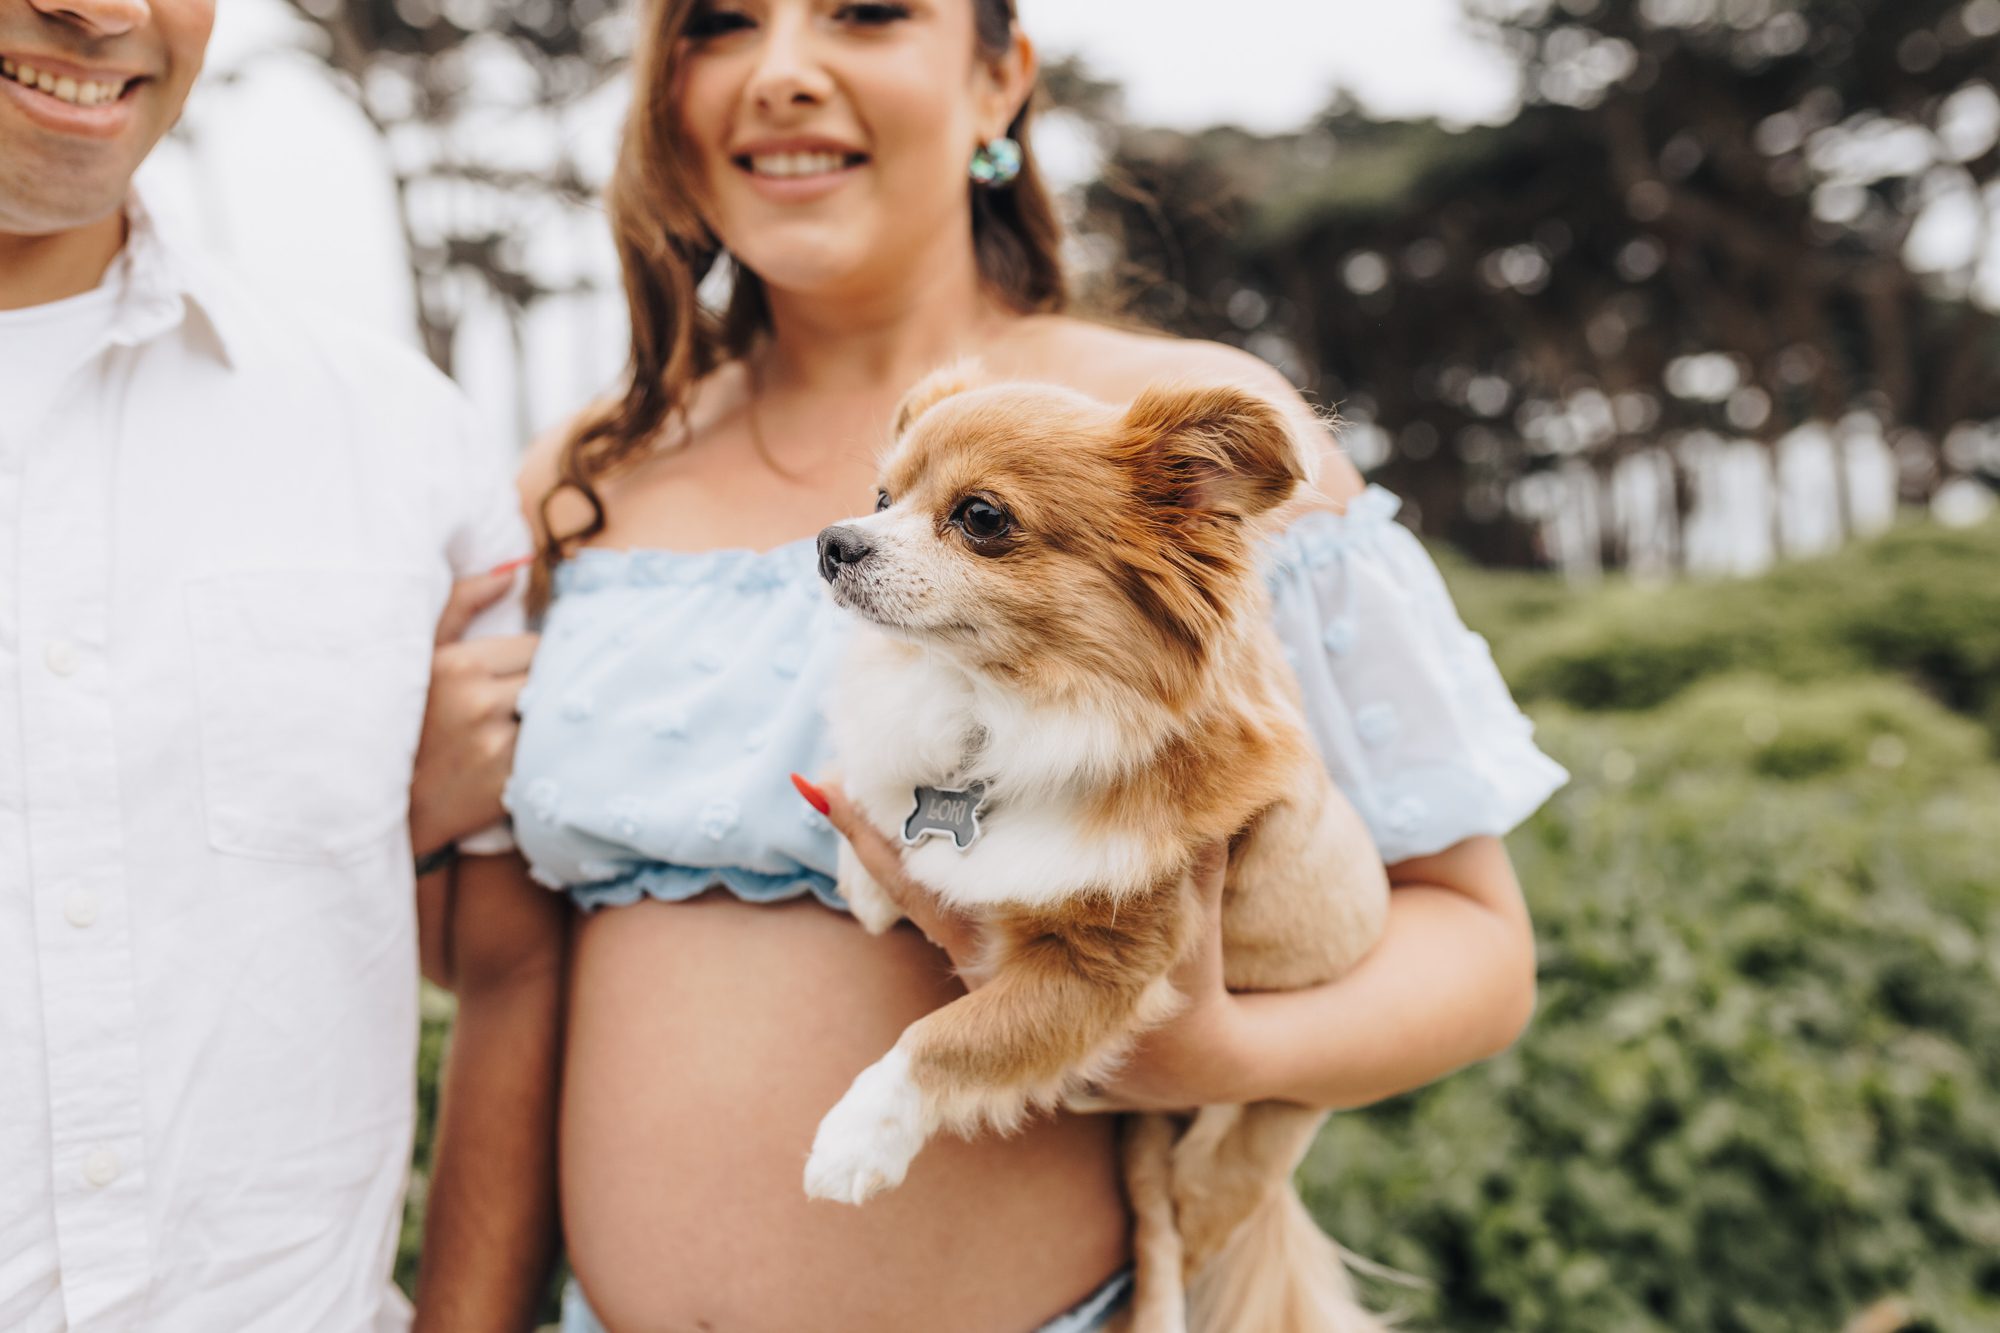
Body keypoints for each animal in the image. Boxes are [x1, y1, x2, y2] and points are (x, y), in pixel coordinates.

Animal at [808, 366, 1392, 1328]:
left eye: (981, 516)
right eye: (882, 497)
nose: (831, 540)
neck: (999, 709)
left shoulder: (1105, 965)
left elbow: (946, 1038)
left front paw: (857, 1134)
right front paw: (868, 869)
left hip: (1223, 1155)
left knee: (1176, 1241)